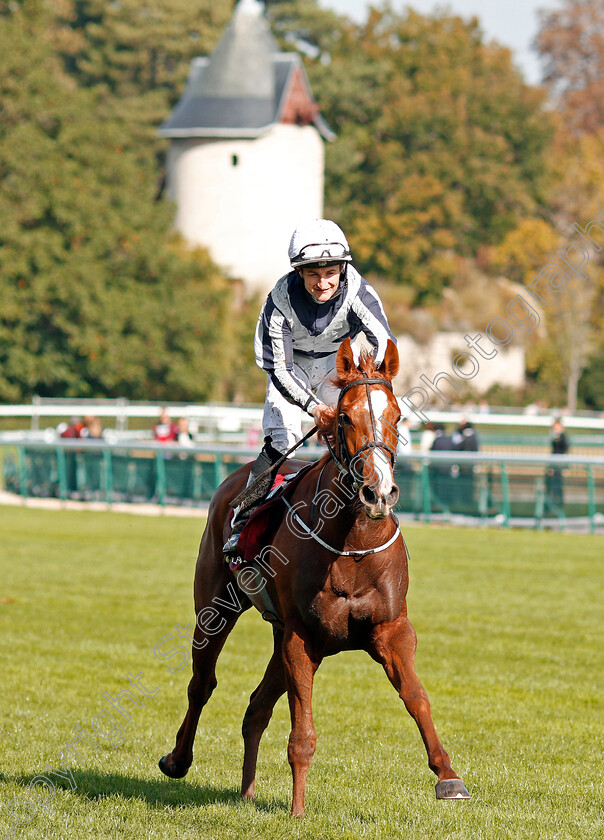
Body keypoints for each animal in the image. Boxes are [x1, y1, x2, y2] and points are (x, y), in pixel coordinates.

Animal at [159, 338, 468, 816]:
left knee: (256, 707)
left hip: (280, 632)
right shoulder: (302, 636)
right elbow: (302, 732)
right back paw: (178, 759)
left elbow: (417, 697)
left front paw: (448, 776)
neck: (351, 544)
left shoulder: (390, 629)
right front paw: (298, 808)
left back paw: (247, 792)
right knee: (202, 683)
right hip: (215, 607)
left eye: (398, 416)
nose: (379, 492)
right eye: (344, 417)